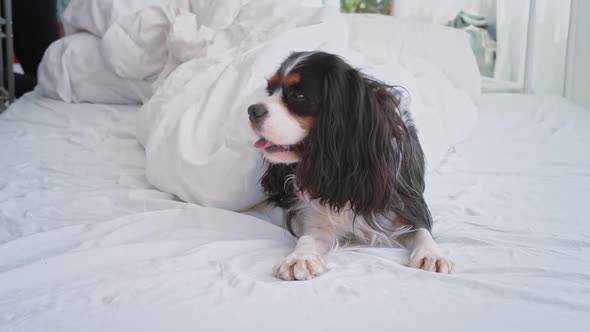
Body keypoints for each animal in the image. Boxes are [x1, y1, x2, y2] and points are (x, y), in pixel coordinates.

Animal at [247, 51, 456, 280]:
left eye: (299, 96)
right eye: (269, 90)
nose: (252, 110)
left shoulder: (408, 202)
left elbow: (422, 231)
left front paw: (432, 254)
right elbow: (309, 238)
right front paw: (300, 258)